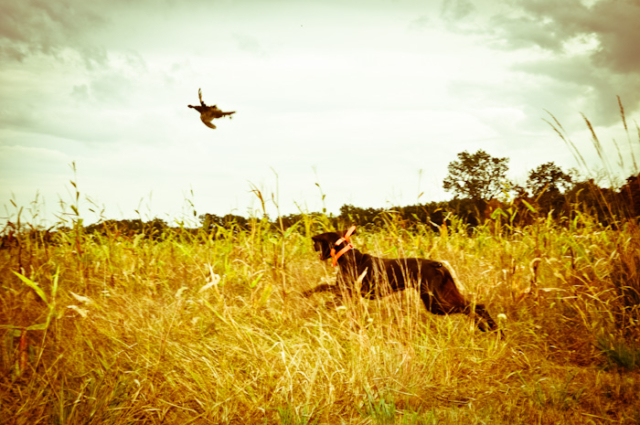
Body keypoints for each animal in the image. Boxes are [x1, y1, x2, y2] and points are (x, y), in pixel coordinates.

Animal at [304, 229, 500, 332]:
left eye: (316, 244)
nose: (313, 248)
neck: (346, 256)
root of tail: (437, 264)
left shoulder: (347, 293)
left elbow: (325, 300)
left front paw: (312, 310)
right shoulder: (343, 290)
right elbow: (321, 286)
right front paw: (306, 295)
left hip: (434, 302)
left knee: (469, 307)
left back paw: (487, 327)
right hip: (443, 295)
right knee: (476, 305)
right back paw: (492, 329)